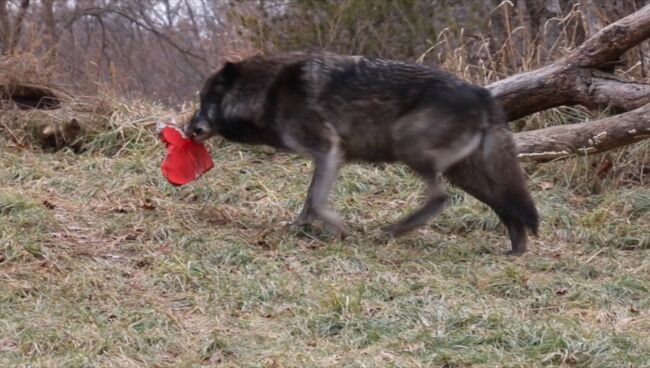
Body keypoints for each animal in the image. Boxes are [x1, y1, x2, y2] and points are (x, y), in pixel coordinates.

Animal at [182, 51, 536, 254]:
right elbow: (309, 201)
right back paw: (516, 250)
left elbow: (317, 201)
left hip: (409, 148)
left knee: (441, 198)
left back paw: (393, 231)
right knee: (505, 205)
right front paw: (299, 228)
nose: (188, 130)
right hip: (464, 173)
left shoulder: (328, 151)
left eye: (206, 99)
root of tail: (482, 94)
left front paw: (339, 229)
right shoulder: (325, 158)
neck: (269, 92)